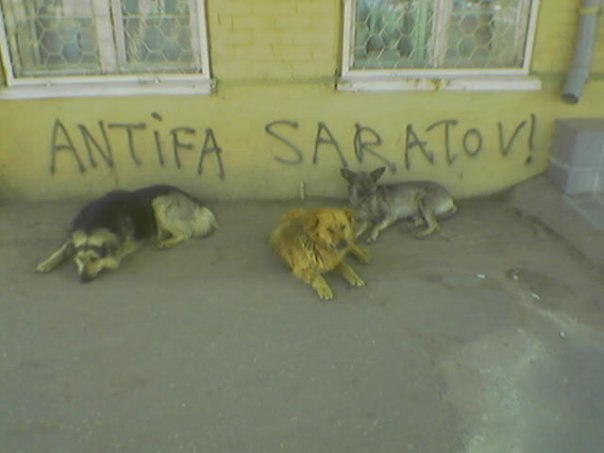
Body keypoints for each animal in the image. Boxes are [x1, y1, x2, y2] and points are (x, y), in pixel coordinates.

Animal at [36, 185, 218, 282]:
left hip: (159, 203)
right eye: (80, 259)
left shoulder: (121, 247)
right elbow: (62, 249)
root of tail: (194, 200)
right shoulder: (72, 234)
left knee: (186, 233)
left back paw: (166, 241)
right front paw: (47, 263)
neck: (94, 223)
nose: (83, 280)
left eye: (95, 259)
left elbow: (113, 258)